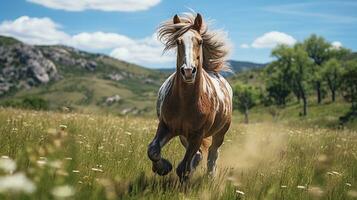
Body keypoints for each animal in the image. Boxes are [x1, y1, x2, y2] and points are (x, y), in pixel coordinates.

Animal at [147, 12, 232, 181]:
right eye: (178, 41)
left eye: (200, 41)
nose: (188, 71)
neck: (185, 102)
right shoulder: (166, 126)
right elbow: (153, 150)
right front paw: (163, 168)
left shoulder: (197, 134)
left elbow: (183, 167)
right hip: (183, 136)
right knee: (199, 154)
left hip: (220, 132)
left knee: (213, 153)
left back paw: (210, 177)